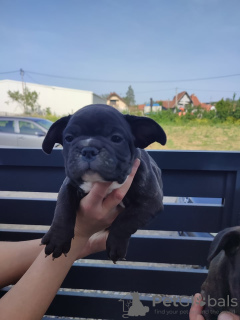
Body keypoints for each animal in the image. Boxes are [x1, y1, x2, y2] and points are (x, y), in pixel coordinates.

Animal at [40, 104, 167, 262]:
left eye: (116, 138)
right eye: (69, 138)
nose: (88, 149)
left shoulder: (150, 202)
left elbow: (126, 220)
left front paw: (116, 245)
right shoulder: (68, 186)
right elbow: (63, 209)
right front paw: (57, 239)